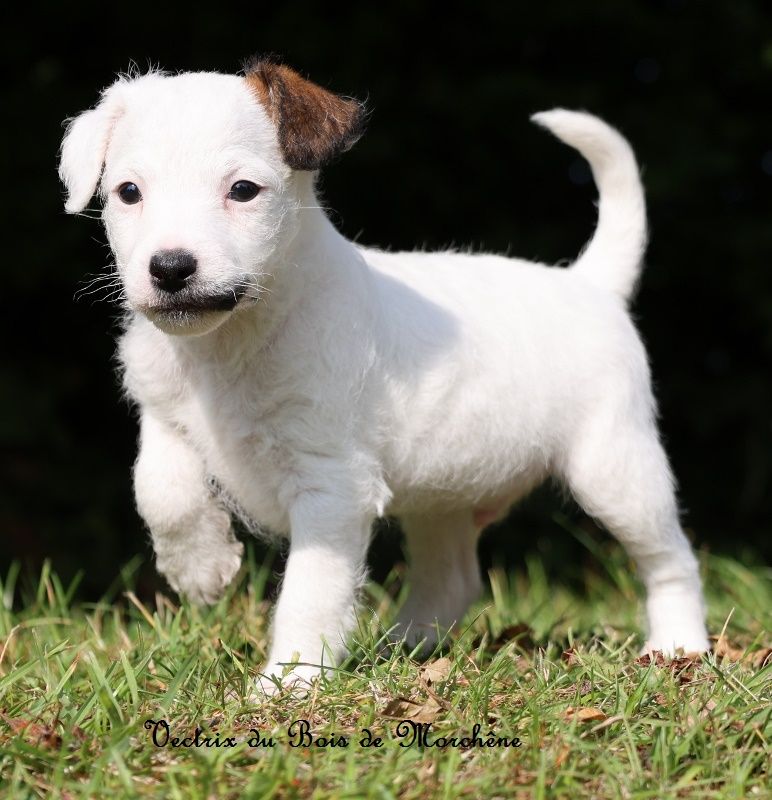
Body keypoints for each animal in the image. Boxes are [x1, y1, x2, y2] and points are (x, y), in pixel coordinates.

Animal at [60, 59, 712, 692]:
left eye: (242, 190)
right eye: (128, 192)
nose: (170, 268)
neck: (235, 342)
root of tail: (589, 284)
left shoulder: (331, 487)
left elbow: (311, 590)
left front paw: (289, 681)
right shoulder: (164, 416)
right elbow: (159, 491)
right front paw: (201, 569)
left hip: (616, 471)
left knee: (672, 559)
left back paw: (679, 647)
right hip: (443, 498)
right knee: (453, 580)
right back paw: (403, 647)